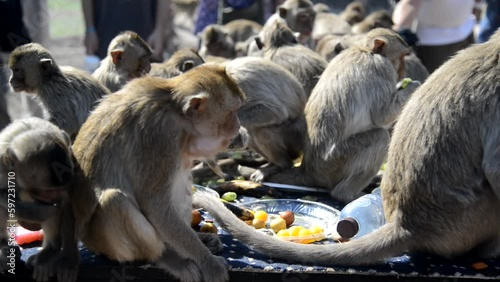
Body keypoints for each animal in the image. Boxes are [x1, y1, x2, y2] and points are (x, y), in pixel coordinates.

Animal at [0, 117, 90, 282]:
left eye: (55, 190)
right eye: (46, 191)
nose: (56, 196)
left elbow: (67, 204)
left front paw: (67, 260)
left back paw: (51, 250)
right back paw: (3, 246)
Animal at [73, 64, 246, 282]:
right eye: (232, 111)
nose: (237, 126)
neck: (176, 111)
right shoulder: (160, 134)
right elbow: (154, 205)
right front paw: (209, 263)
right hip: (104, 244)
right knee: (115, 200)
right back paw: (167, 257)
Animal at [192, 28, 500, 266]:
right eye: (401, 57)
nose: (403, 70)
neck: (363, 49)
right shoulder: (380, 70)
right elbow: (382, 115)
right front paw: (410, 85)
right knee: (379, 137)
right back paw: (348, 192)